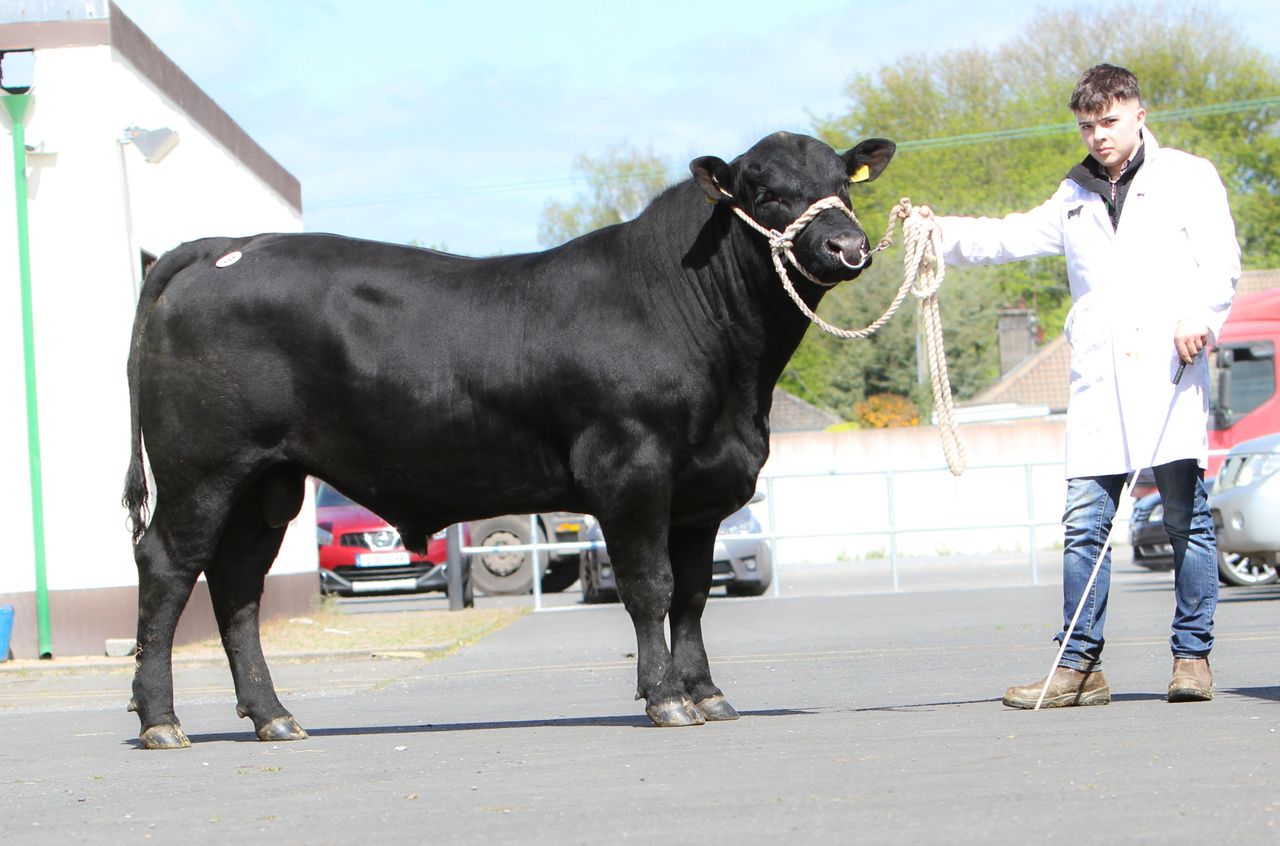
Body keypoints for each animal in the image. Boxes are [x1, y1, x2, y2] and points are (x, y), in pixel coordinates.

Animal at [123, 131, 896, 749]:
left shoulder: (702, 490)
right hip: (202, 468)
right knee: (167, 567)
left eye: (841, 183)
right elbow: (651, 587)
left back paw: (272, 715)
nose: (847, 246)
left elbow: (696, 595)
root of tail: (227, 246)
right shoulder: (633, 469)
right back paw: (161, 720)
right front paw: (666, 698)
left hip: (267, 480)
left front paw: (707, 693)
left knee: (237, 583)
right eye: (764, 190)